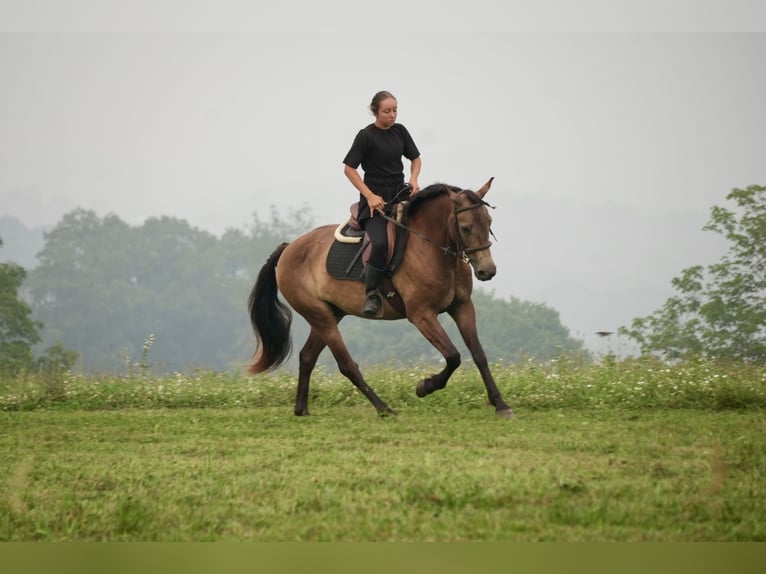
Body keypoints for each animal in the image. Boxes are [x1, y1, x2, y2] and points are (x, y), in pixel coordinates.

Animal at [247, 178, 514, 418]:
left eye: (488, 222)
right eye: (466, 227)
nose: (487, 271)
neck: (433, 250)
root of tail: (289, 248)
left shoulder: (462, 307)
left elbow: (479, 355)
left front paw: (501, 404)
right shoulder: (422, 315)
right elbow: (453, 356)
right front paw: (424, 387)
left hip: (330, 314)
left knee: (307, 357)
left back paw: (302, 409)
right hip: (320, 316)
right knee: (347, 366)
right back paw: (384, 408)